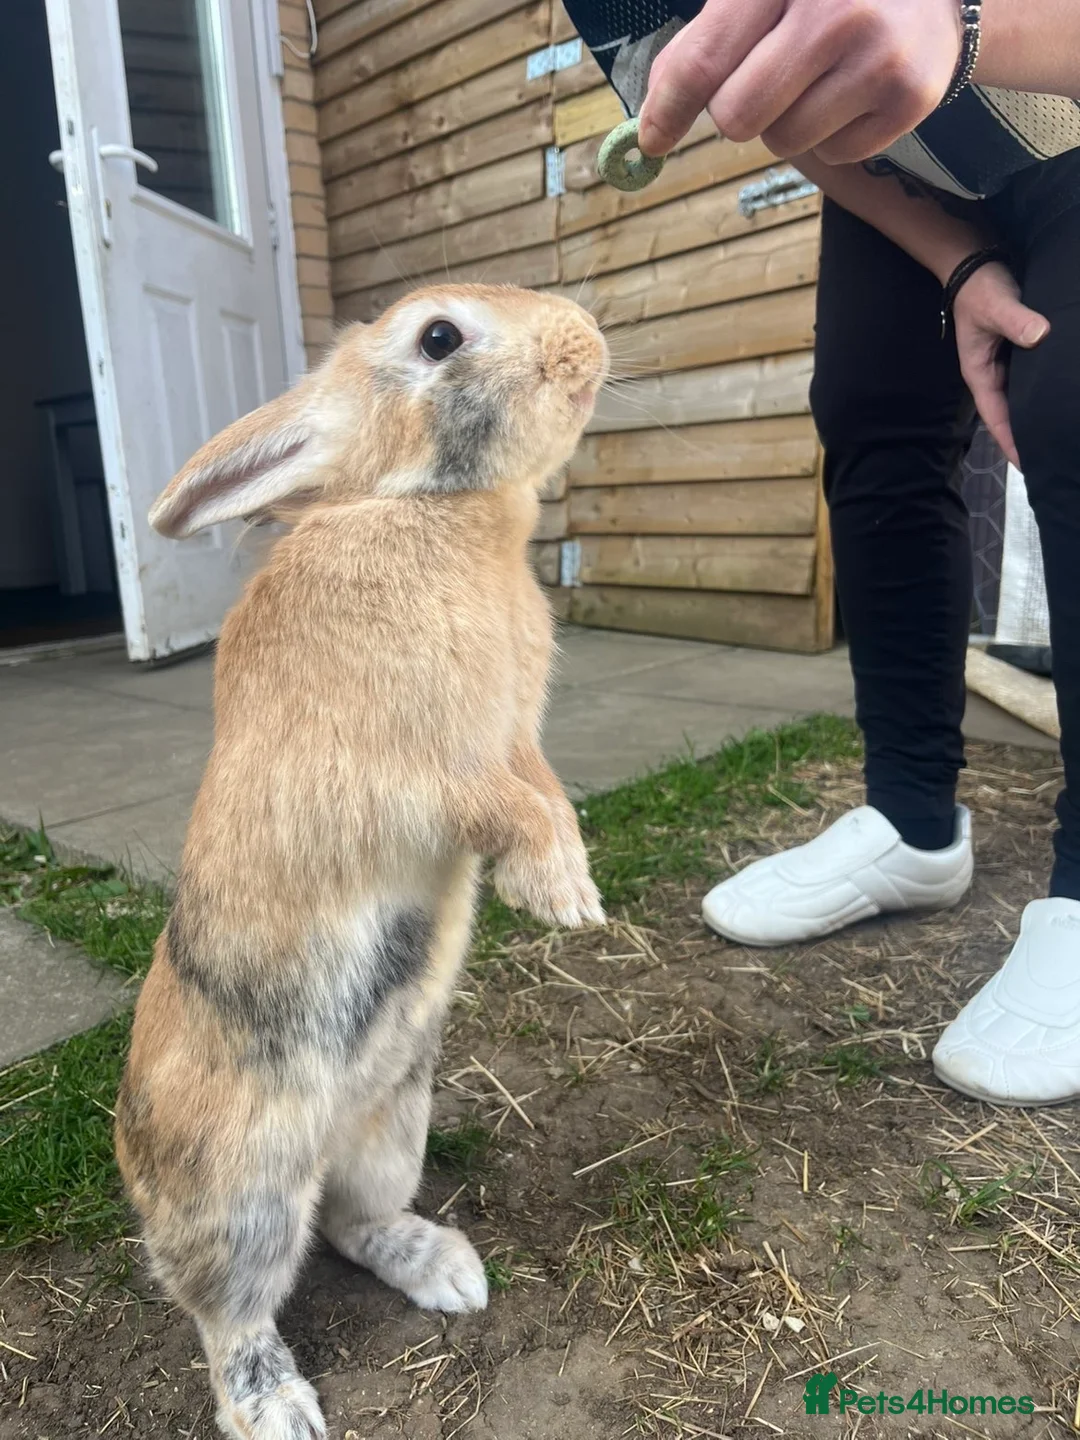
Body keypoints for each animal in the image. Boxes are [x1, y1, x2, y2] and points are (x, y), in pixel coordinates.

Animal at [115, 284, 608, 1440]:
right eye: (439, 336)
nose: (590, 345)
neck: (420, 509)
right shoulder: (410, 775)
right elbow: (497, 808)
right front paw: (562, 898)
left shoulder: (515, 742)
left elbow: (543, 791)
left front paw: (575, 882)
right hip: (243, 1190)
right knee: (231, 1311)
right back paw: (278, 1410)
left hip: (395, 1124)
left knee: (350, 1219)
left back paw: (448, 1272)